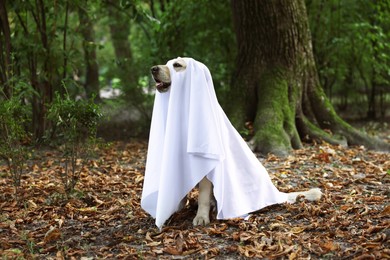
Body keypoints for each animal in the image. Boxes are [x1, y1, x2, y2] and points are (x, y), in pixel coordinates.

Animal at [151, 58, 322, 225]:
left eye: (177, 65)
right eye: (166, 64)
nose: (153, 69)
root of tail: (276, 194)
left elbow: (203, 196)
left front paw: (201, 217)